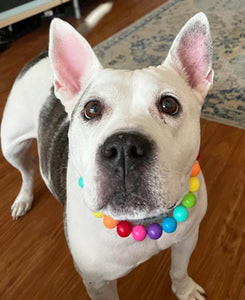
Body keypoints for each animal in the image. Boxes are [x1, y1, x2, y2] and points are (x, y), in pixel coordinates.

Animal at [0, 12, 212, 300]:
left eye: (169, 105)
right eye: (91, 109)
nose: (123, 148)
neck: (142, 222)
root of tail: (43, 53)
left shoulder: (187, 238)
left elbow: (179, 269)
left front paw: (185, 290)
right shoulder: (97, 282)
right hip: (10, 146)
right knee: (27, 168)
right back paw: (23, 198)